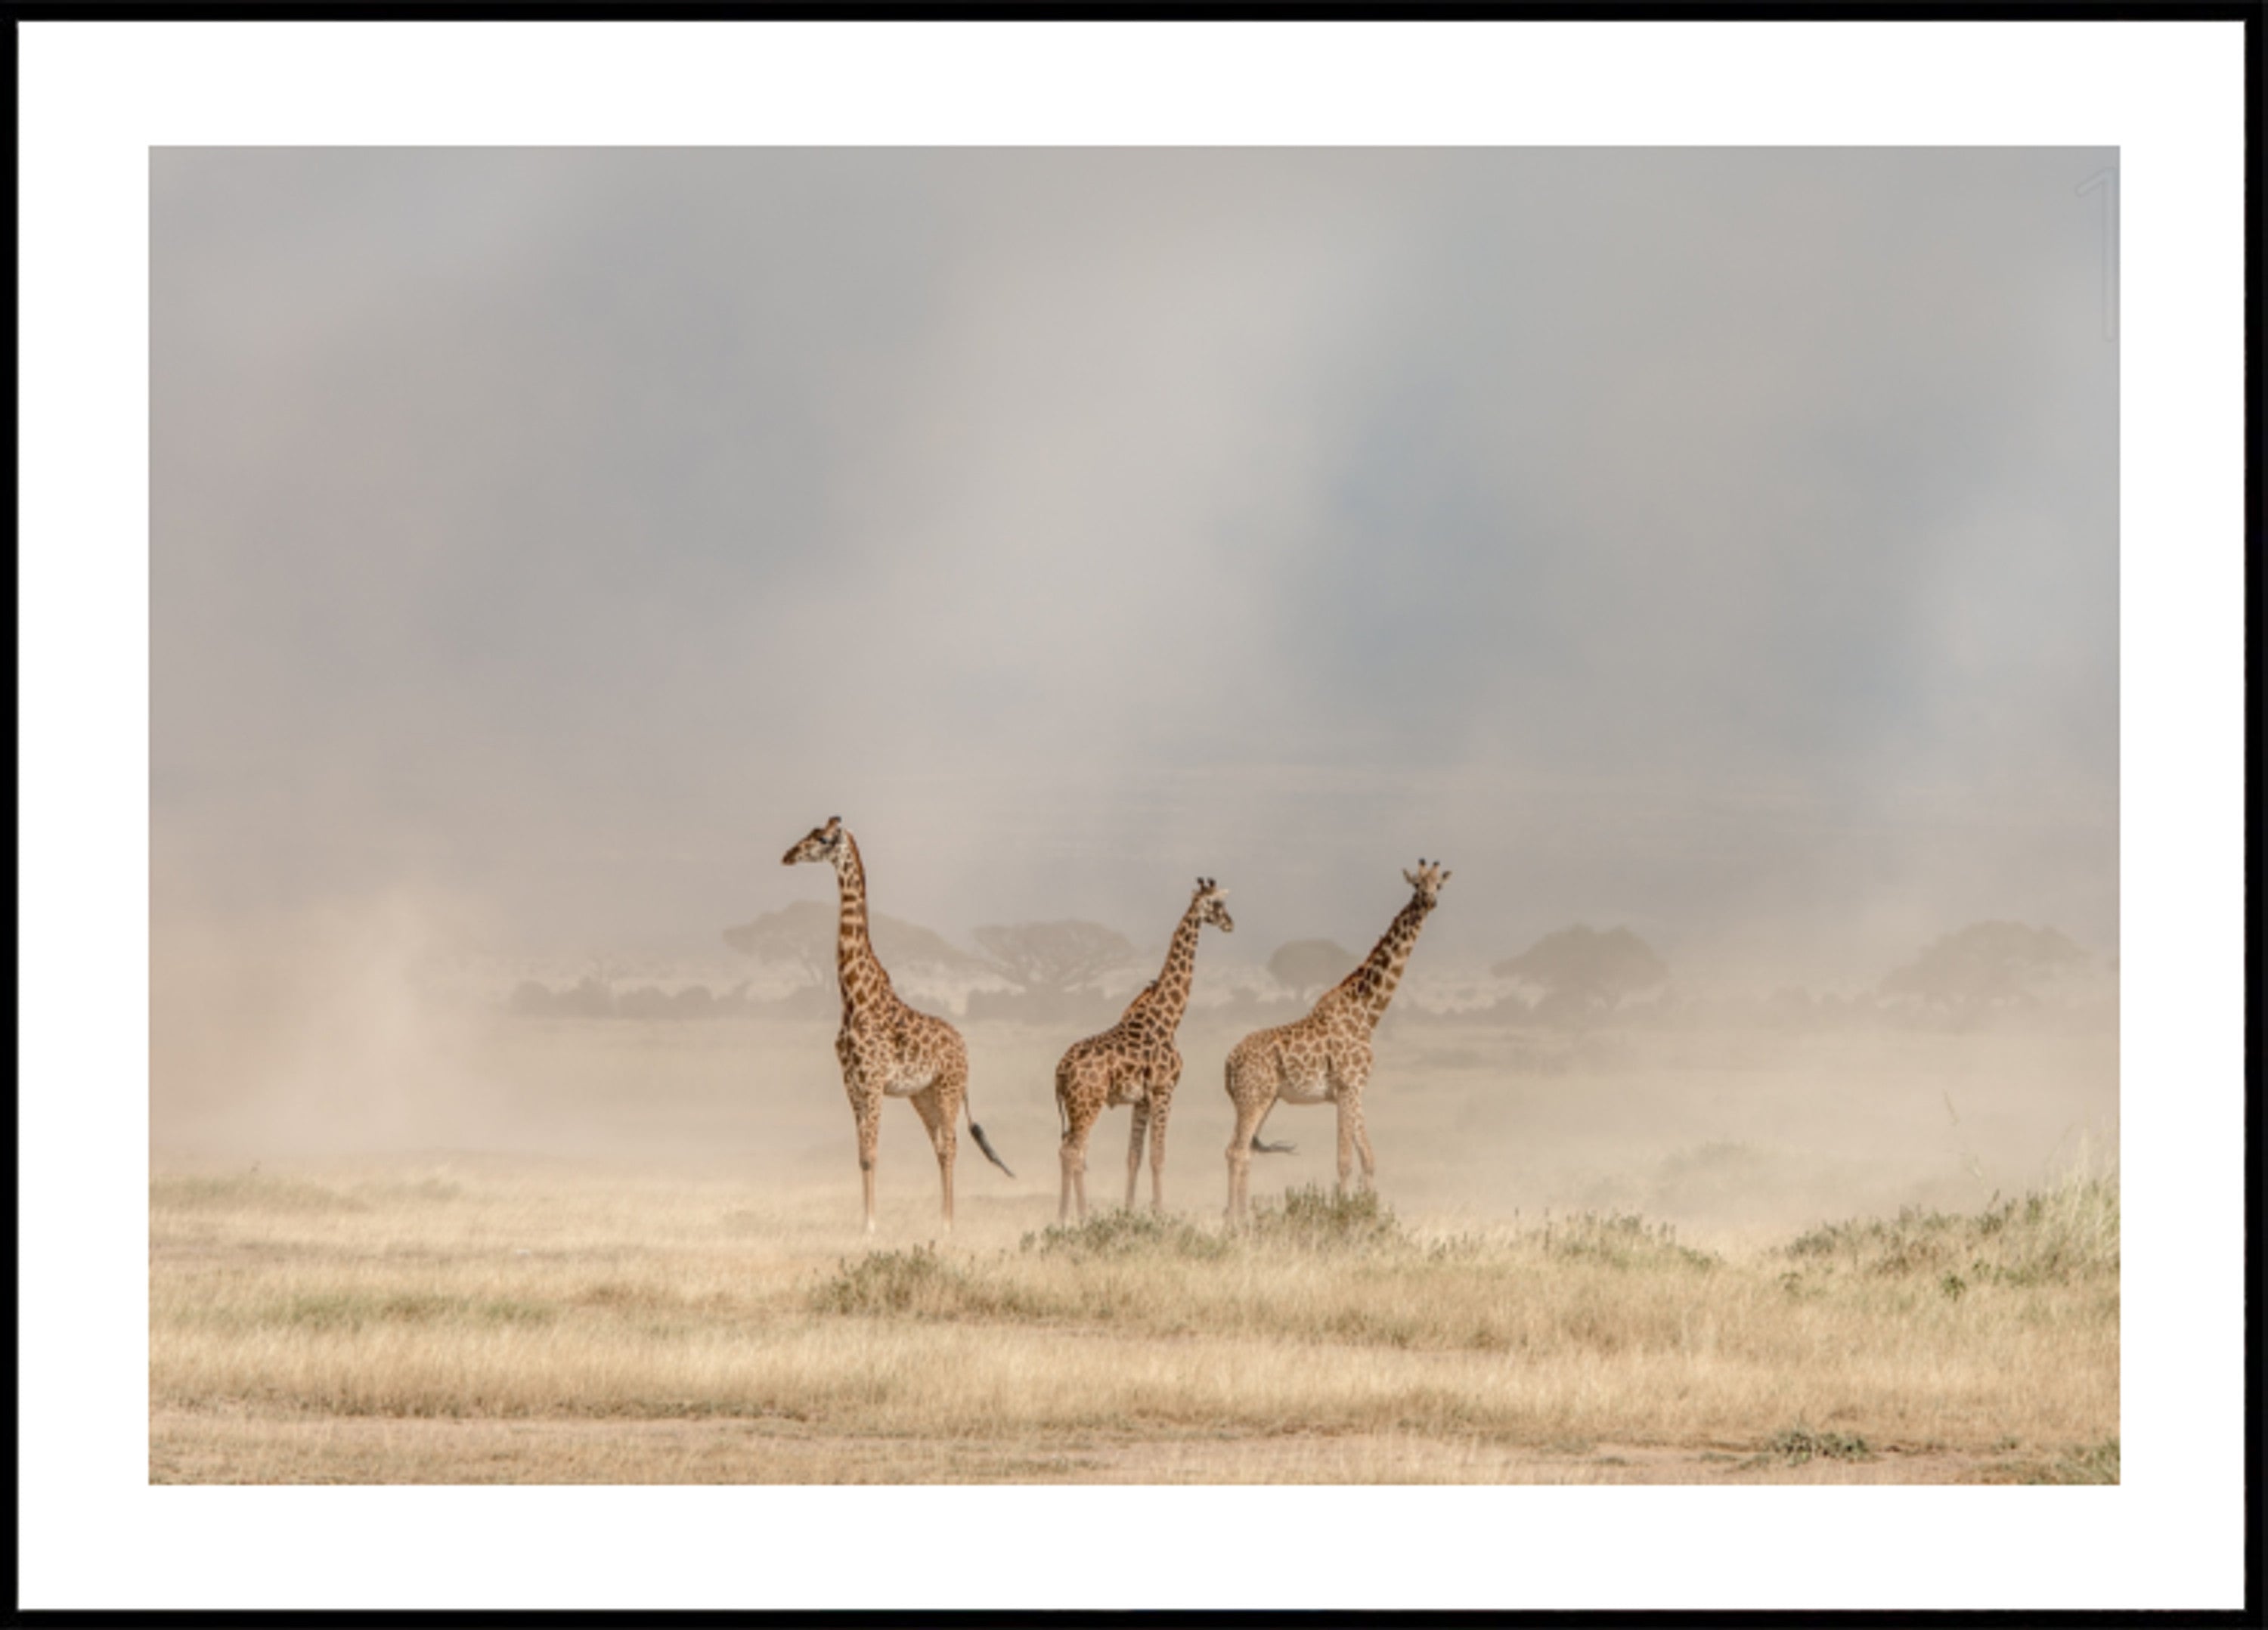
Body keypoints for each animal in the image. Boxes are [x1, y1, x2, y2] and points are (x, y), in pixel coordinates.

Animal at [782, 816, 1013, 1233]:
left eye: (823, 839)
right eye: (808, 834)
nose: (788, 855)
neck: (854, 998)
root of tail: (965, 1046)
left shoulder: (873, 1081)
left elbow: (872, 1153)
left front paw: (871, 1228)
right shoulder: (852, 1084)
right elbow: (862, 1155)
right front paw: (865, 1225)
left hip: (949, 1088)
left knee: (951, 1145)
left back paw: (948, 1225)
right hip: (922, 1095)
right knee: (940, 1146)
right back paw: (941, 1222)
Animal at [1052, 878, 1234, 1223]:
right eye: (1217, 904)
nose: (1231, 923)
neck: (1169, 1018)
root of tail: (1060, 1071)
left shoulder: (1141, 1100)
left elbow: (1133, 1156)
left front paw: (1128, 1212)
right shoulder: (1164, 1090)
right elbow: (1158, 1156)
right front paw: (1160, 1213)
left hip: (1075, 1106)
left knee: (1070, 1150)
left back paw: (1065, 1216)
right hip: (1088, 1103)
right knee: (1073, 1151)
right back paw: (1079, 1217)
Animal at [1222, 859, 1451, 1223]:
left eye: (1438, 885)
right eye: (1416, 884)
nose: (1429, 901)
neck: (1367, 1015)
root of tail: (1229, 1062)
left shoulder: (1354, 1091)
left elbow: (1368, 1159)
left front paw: (1369, 1214)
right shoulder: (1347, 1086)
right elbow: (1345, 1161)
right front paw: (1345, 1216)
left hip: (1262, 1099)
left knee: (1240, 1152)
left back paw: (1239, 1219)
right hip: (1253, 1098)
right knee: (1237, 1151)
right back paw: (1237, 1223)